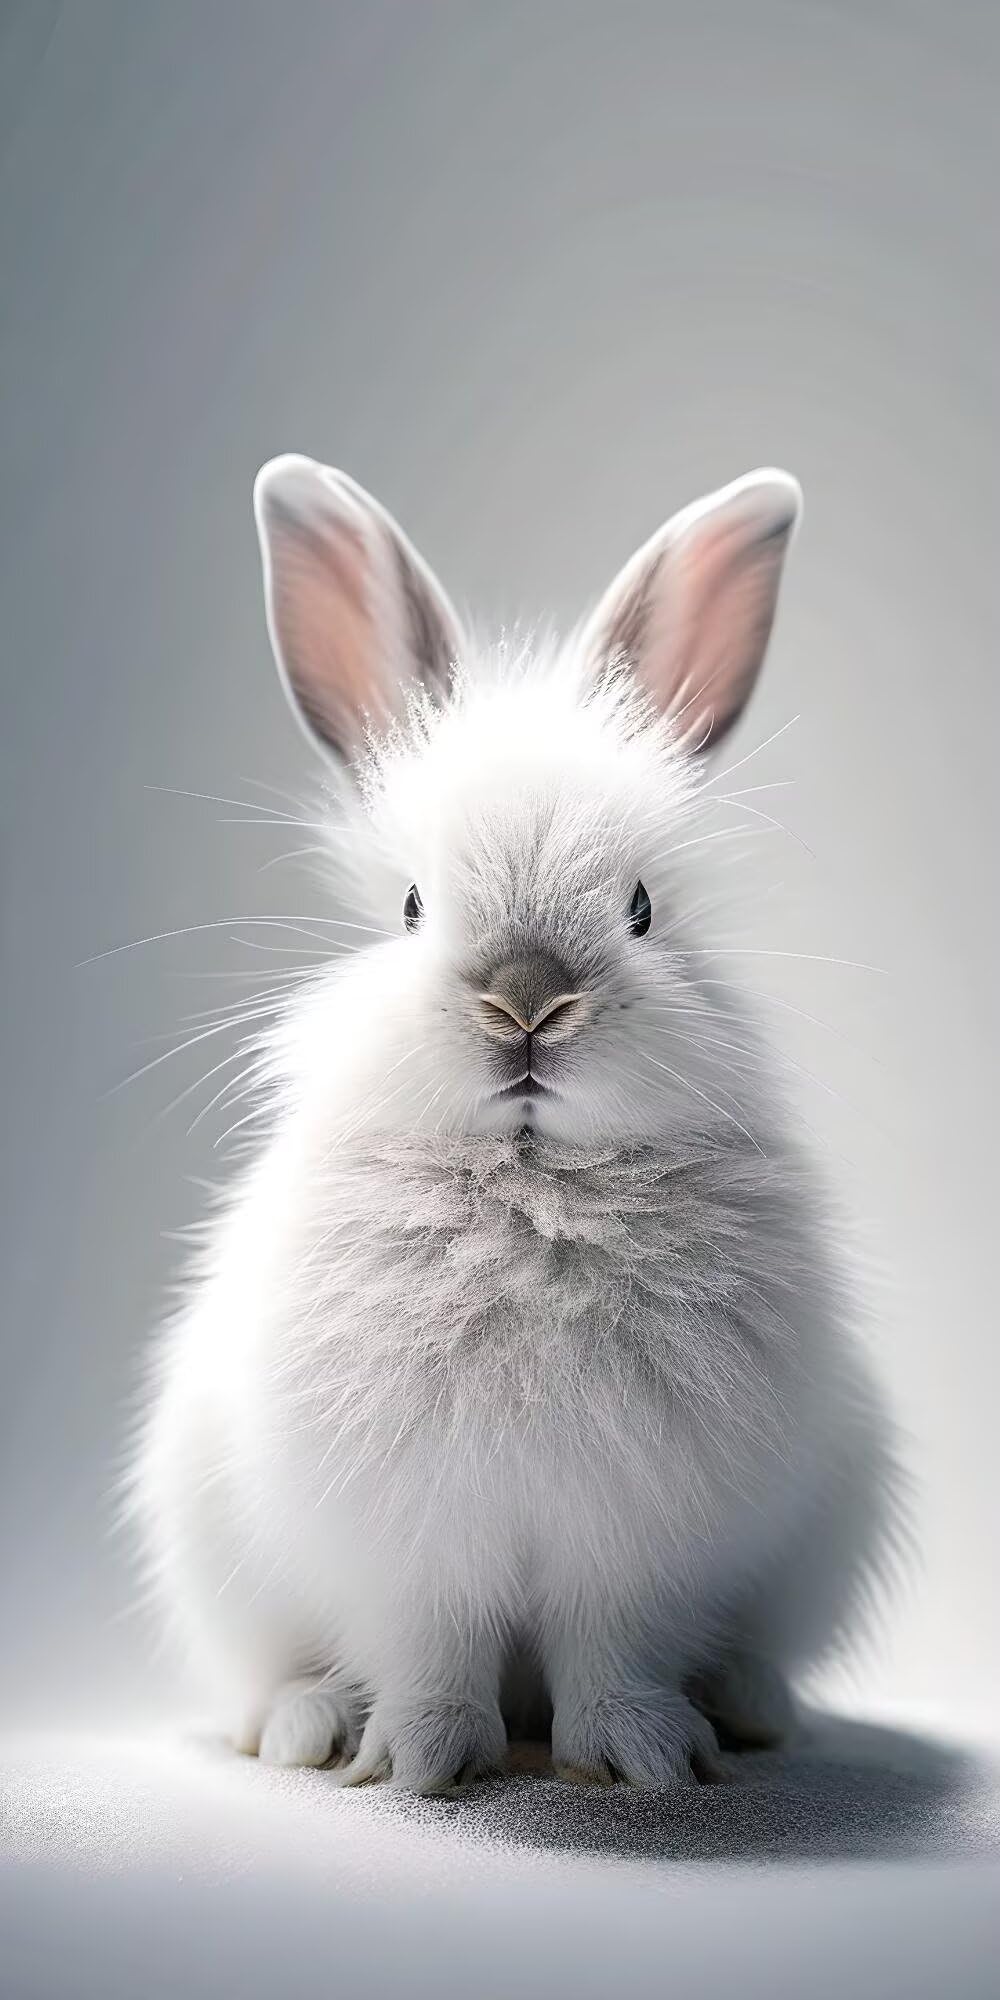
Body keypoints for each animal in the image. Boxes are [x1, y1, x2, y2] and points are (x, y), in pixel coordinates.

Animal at [131, 454, 902, 1792]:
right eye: (408, 904)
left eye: (641, 906)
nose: (527, 998)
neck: (532, 1193)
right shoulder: (406, 1543)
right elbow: (429, 1652)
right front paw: (419, 1761)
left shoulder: (638, 1540)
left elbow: (616, 1649)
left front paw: (645, 1760)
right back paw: (303, 1725)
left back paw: (749, 1711)